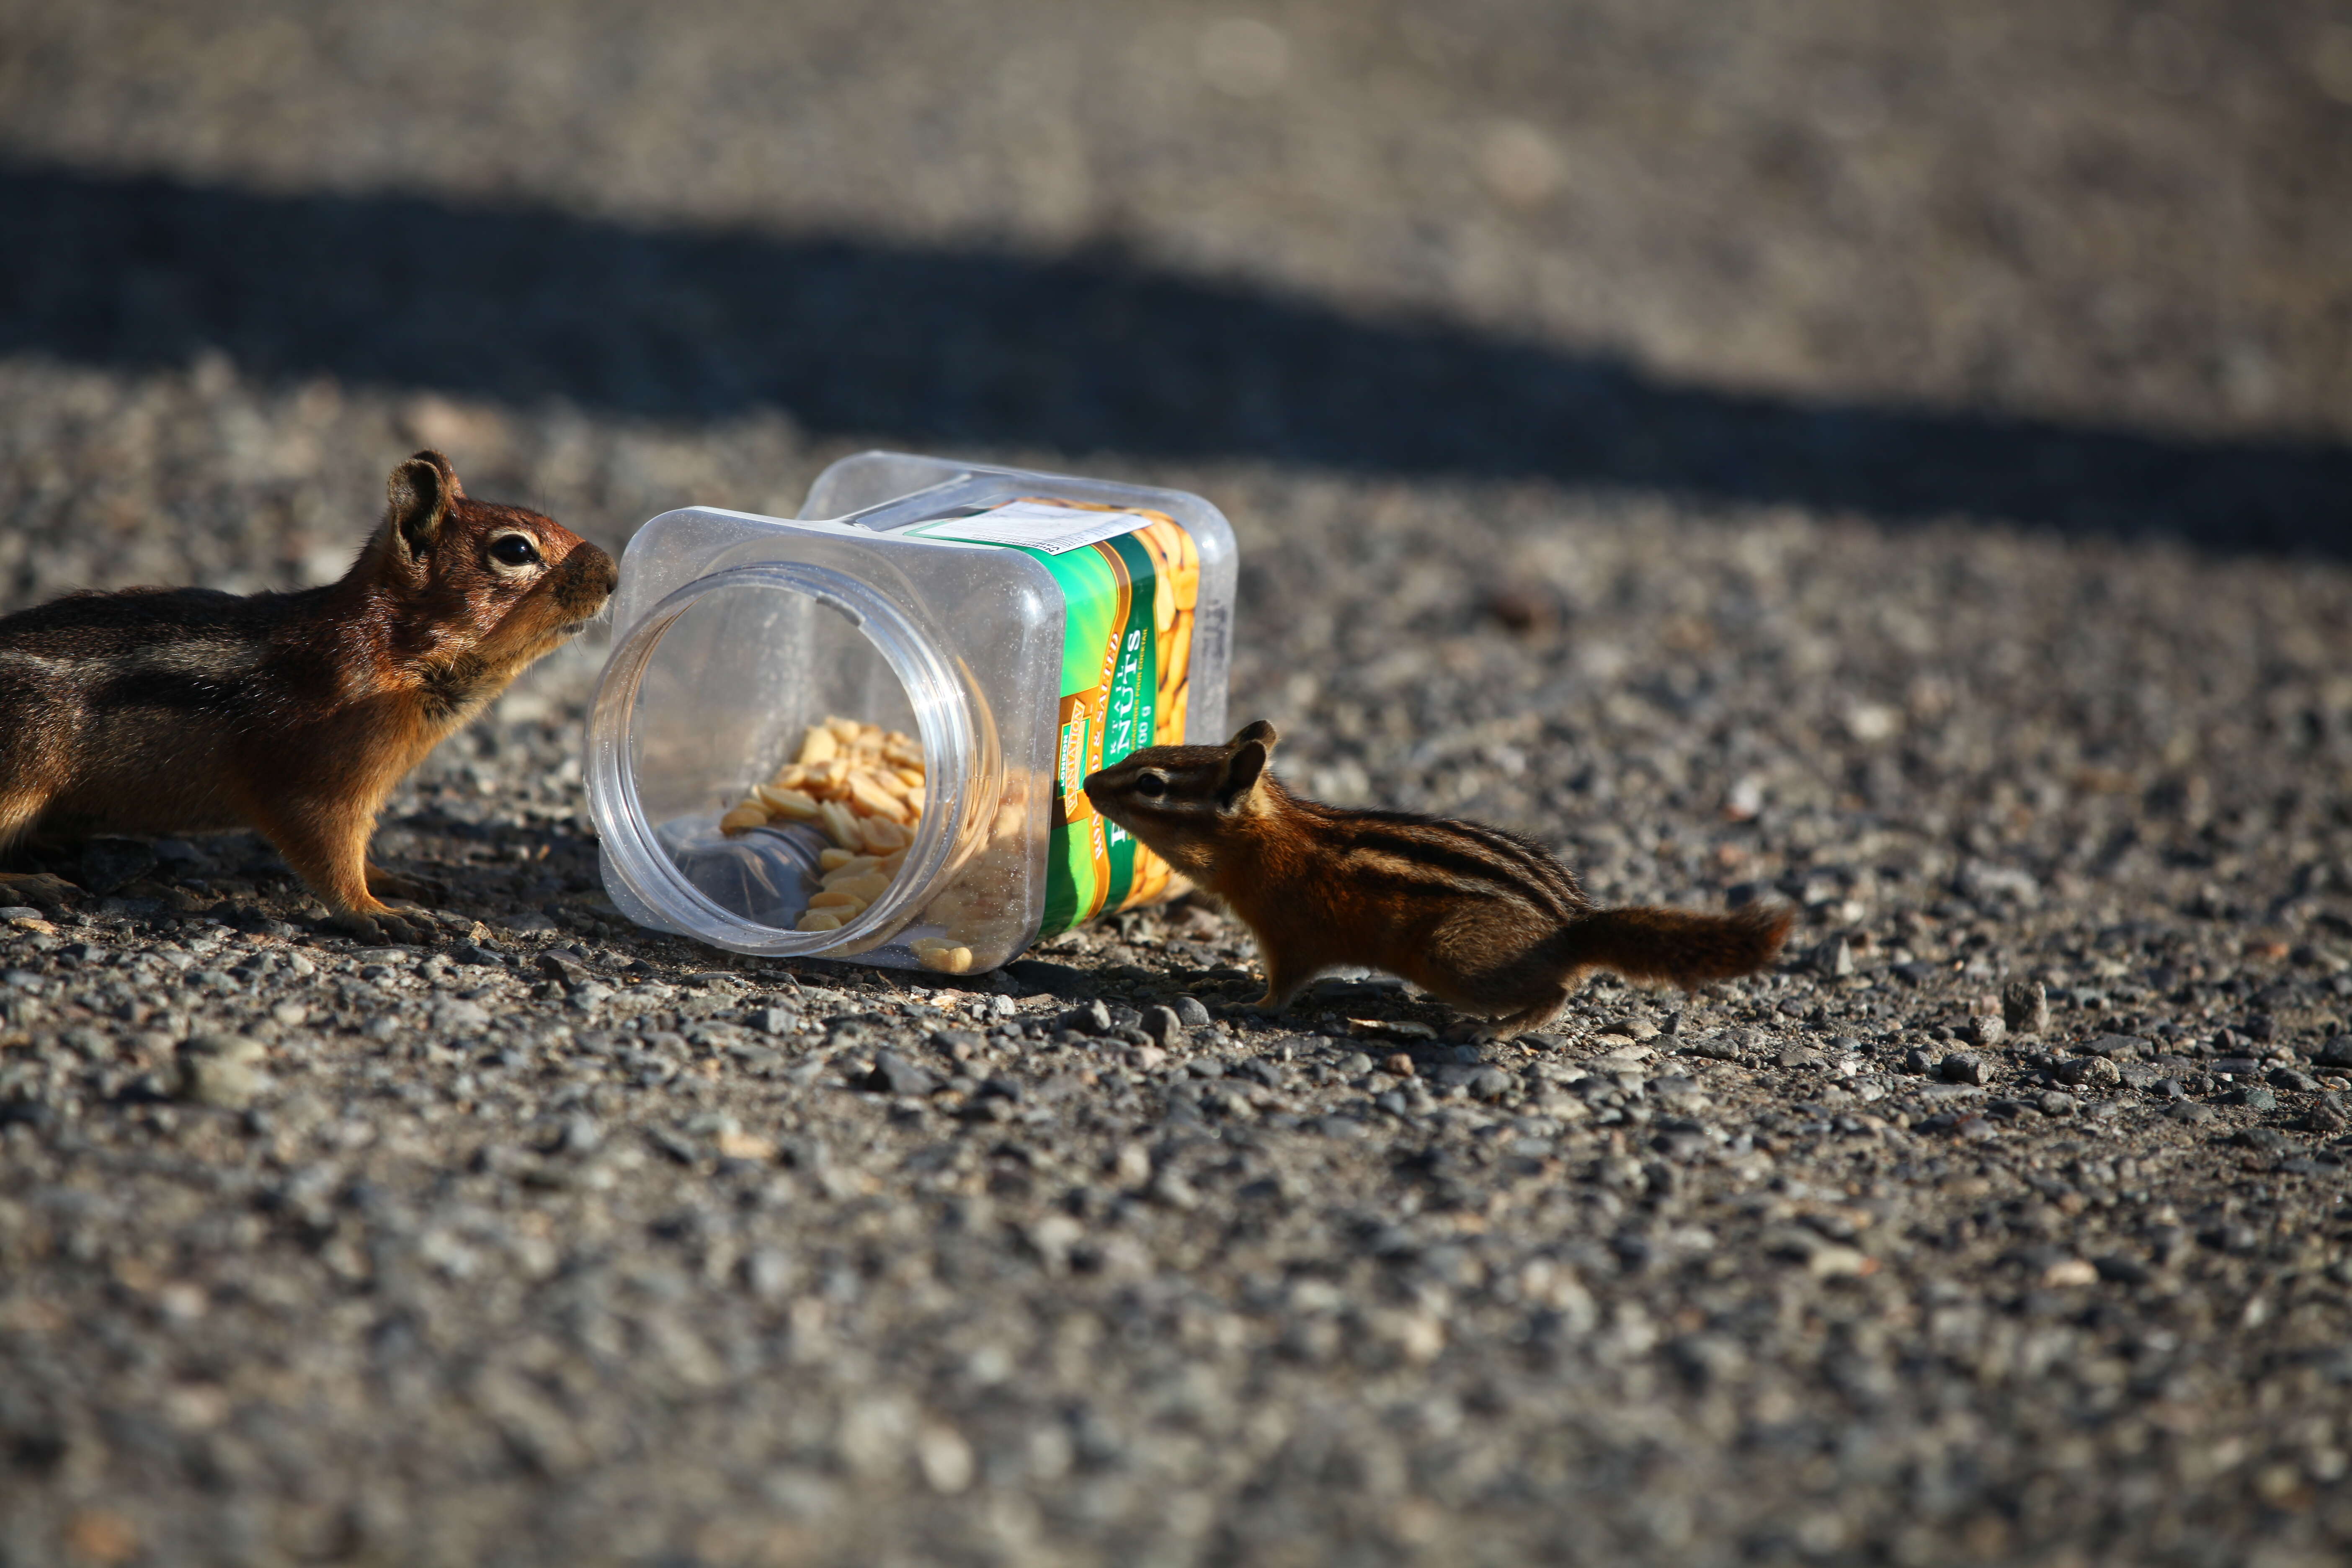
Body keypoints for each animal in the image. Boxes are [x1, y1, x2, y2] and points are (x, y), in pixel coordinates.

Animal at [0, 454, 616, 945]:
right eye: (515, 549)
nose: (613, 574)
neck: (392, 652)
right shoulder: (314, 780)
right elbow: (329, 854)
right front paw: (374, 911)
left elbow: (361, 848)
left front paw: (393, 880)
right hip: (21, 773)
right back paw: (31, 881)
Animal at [1091, 724, 1787, 1044]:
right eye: (1144, 752)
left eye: (1150, 784)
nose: (1090, 784)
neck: (1271, 840)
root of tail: (1575, 925)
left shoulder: (1290, 936)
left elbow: (1283, 986)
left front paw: (1249, 1004)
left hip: (1453, 955)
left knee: (1558, 991)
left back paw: (1497, 1029)